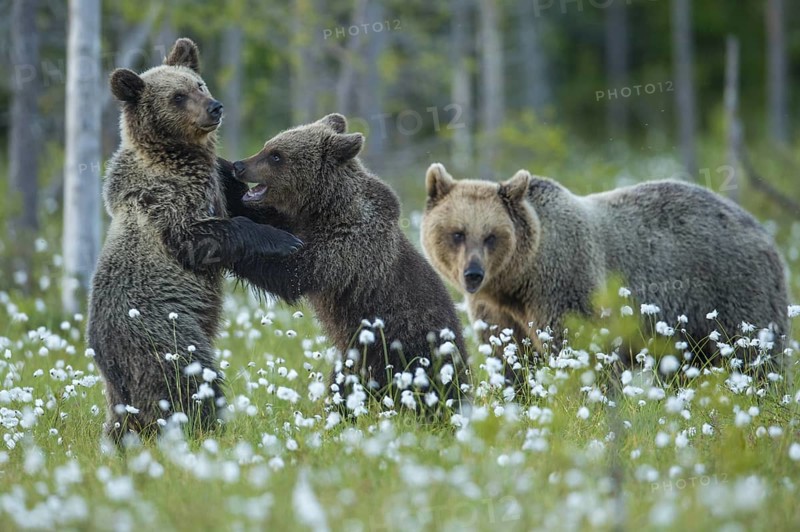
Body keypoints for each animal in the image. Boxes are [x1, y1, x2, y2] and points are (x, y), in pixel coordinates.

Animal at [87, 38, 301, 444]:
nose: (215, 107)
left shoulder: (209, 180)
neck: (176, 157)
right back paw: (207, 427)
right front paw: (284, 239)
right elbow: (203, 236)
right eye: (177, 96)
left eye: (199, 85)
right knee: (190, 380)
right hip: (164, 335)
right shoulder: (167, 205)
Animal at [224, 114, 469, 410]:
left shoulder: (344, 248)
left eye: (276, 155)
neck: (323, 208)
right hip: (354, 359)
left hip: (402, 352)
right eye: (267, 146)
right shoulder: (296, 223)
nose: (239, 166)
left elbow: (290, 273)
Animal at [421, 163, 789, 368]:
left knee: (753, 353)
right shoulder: (498, 311)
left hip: (732, 288)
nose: (473, 274)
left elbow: (576, 342)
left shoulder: (563, 283)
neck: (518, 280)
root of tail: (762, 230)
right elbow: (508, 355)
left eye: (491, 236)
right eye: (457, 233)